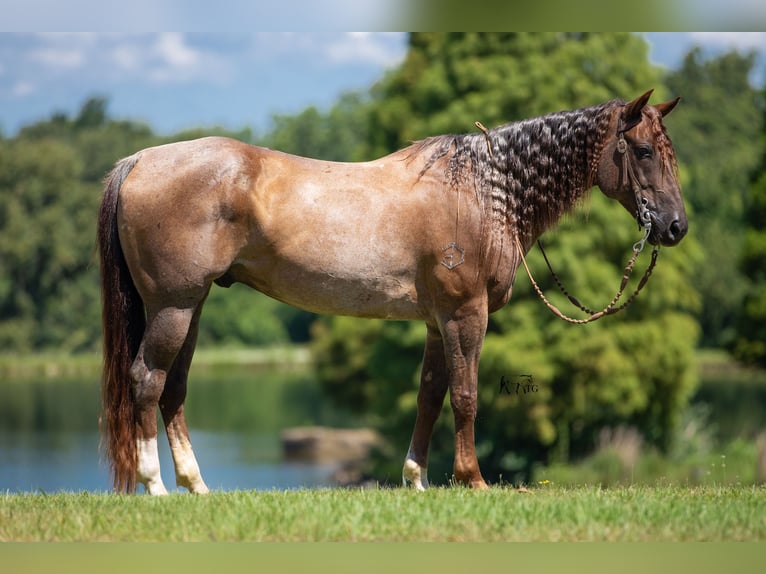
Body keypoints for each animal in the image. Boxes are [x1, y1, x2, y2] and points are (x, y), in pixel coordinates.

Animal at [97, 90, 688, 496]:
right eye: (641, 150)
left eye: (668, 151)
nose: (676, 226)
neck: (483, 190)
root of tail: (139, 161)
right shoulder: (465, 315)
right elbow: (466, 395)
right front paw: (472, 479)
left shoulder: (436, 321)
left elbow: (430, 395)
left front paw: (417, 479)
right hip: (173, 307)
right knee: (147, 380)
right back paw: (155, 486)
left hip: (191, 308)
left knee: (173, 390)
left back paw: (196, 485)